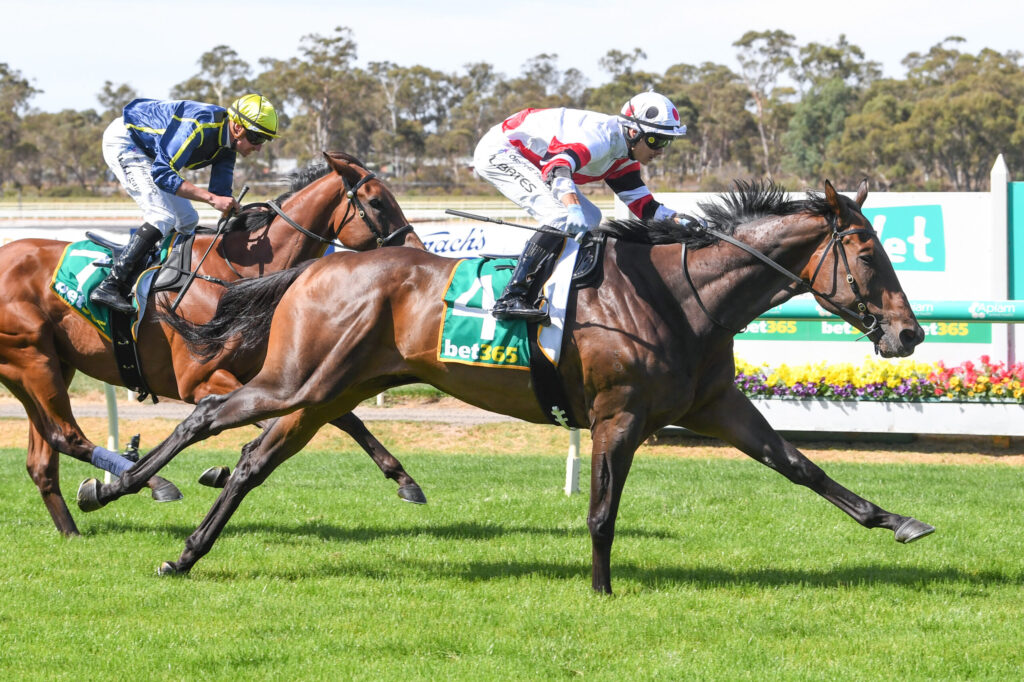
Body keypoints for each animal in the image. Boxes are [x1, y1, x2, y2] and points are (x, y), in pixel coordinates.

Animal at [0, 151, 426, 537]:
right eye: (376, 201)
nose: (414, 246)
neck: (232, 275)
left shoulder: (275, 375)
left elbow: (343, 417)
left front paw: (405, 480)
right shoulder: (199, 380)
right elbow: (260, 420)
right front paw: (219, 470)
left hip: (49, 366)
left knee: (42, 460)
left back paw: (73, 528)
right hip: (33, 360)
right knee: (65, 436)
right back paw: (151, 483)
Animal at [81, 179, 933, 594]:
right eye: (869, 255)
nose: (909, 334)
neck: (681, 294)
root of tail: (316, 267)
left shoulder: (714, 405)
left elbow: (801, 465)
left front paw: (898, 521)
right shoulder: (618, 415)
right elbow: (601, 511)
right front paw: (602, 591)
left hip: (326, 394)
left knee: (253, 463)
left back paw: (185, 553)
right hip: (297, 380)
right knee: (209, 414)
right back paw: (113, 490)